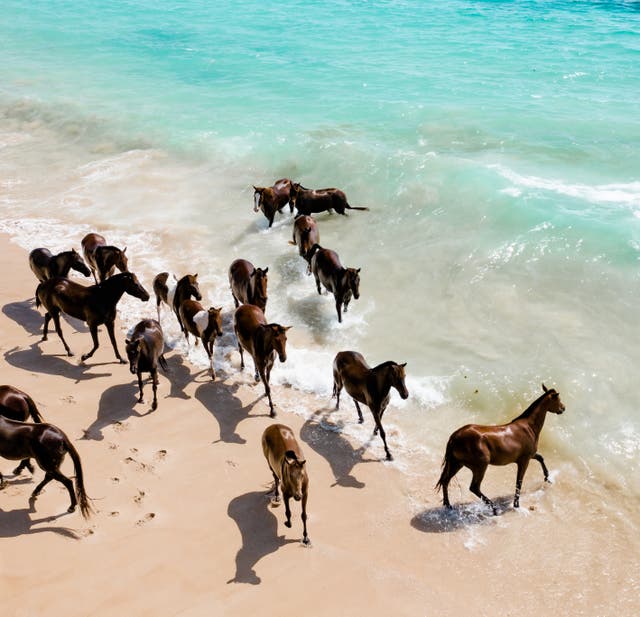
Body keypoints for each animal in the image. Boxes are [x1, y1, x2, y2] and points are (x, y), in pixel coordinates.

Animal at [435, 384, 566, 514]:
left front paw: (548, 478)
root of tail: (455, 436)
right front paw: (516, 505)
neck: (529, 426)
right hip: (480, 466)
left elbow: (540, 458)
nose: (563, 408)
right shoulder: (524, 460)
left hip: (457, 463)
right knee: (474, 487)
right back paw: (493, 508)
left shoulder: (530, 455)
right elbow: (519, 482)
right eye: (558, 399)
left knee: (446, 481)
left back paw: (448, 505)